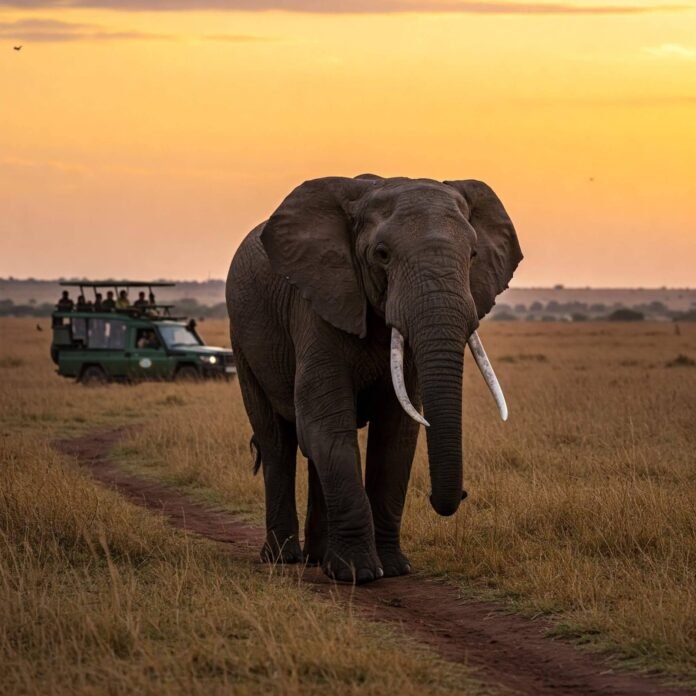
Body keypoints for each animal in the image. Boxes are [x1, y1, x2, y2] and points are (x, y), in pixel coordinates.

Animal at [226, 174, 522, 584]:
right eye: (382, 254)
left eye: (474, 254)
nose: (460, 495)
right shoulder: (316, 306)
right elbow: (326, 424)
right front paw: (359, 574)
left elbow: (396, 435)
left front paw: (395, 569)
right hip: (242, 338)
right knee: (277, 442)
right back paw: (282, 558)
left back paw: (317, 558)